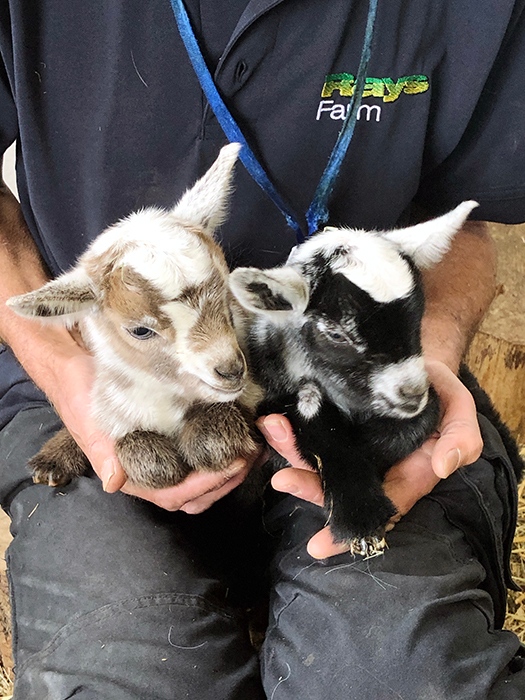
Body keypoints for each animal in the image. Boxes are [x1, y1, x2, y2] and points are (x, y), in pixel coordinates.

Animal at [7, 143, 260, 489]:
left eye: (226, 297)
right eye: (140, 330)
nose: (231, 370)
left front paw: (211, 435)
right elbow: (132, 443)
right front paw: (150, 458)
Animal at [229, 201, 480, 556]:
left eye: (419, 316)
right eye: (337, 334)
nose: (412, 394)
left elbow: (415, 425)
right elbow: (318, 429)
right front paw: (360, 521)